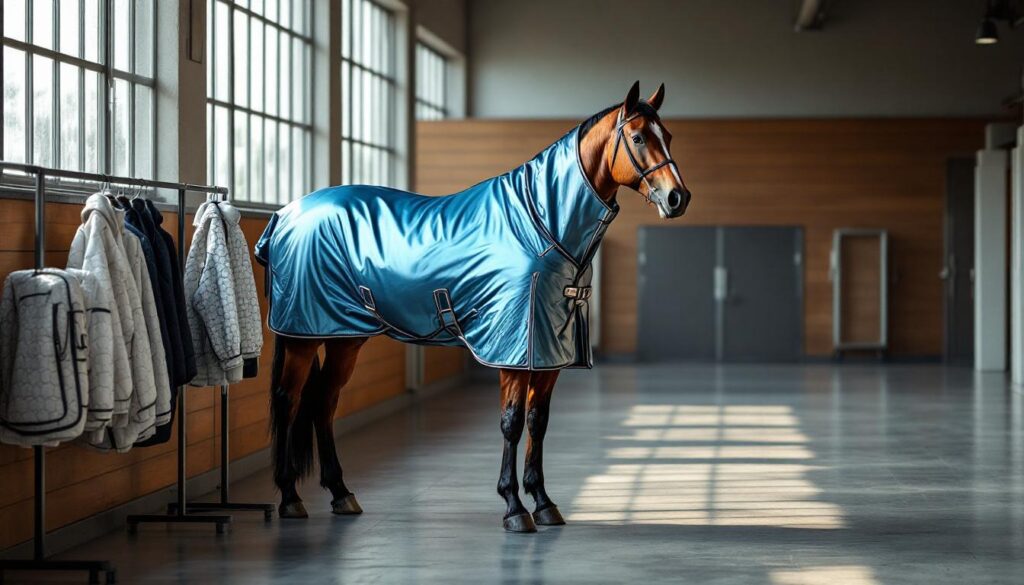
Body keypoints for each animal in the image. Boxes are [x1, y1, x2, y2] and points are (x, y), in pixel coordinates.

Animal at [256, 81, 691, 532]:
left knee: (323, 400)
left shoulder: (548, 352)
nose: (678, 197)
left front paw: (543, 502)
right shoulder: (513, 351)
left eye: (668, 136)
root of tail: (285, 215)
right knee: (289, 400)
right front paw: (514, 507)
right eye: (638, 137)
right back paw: (290, 497)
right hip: (303, 337)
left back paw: (341, 492)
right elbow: (512, 423)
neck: (541, 223)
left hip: (343, 337)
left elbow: (538, 422)